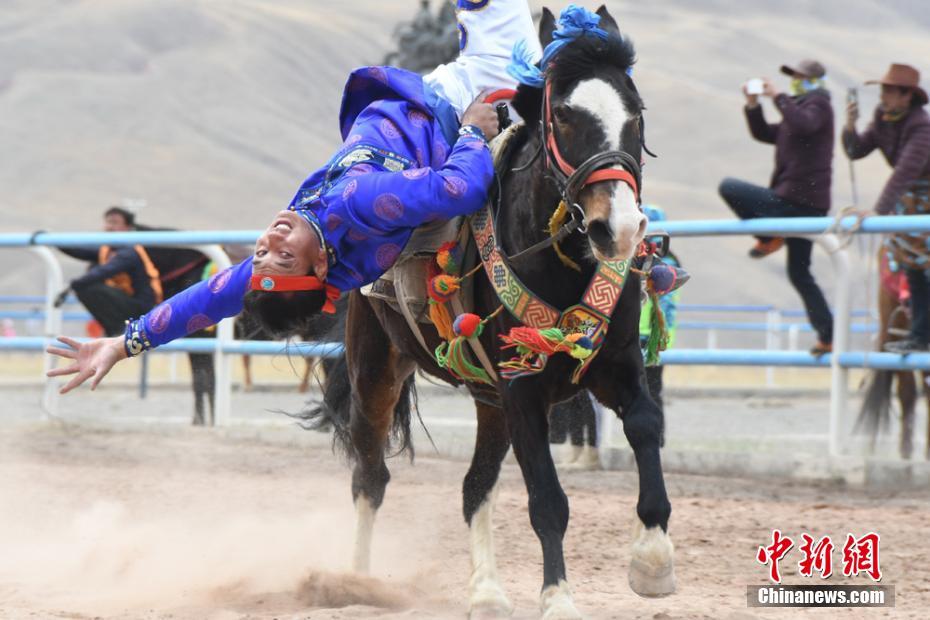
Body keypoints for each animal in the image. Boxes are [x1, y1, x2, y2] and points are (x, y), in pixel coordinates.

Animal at [308, 8, 672, 616]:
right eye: (564, 115)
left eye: (637, 114)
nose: (617, 228)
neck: (559, 262)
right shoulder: (523, 389)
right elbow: (547, 500)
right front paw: (559, 598)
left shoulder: (615, 365)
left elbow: (646, 426)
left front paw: (653, 561)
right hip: (377, 373)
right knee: (370, 476)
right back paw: (355, 581)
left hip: (488, 401)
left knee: (473, 485)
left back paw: (486, 591)